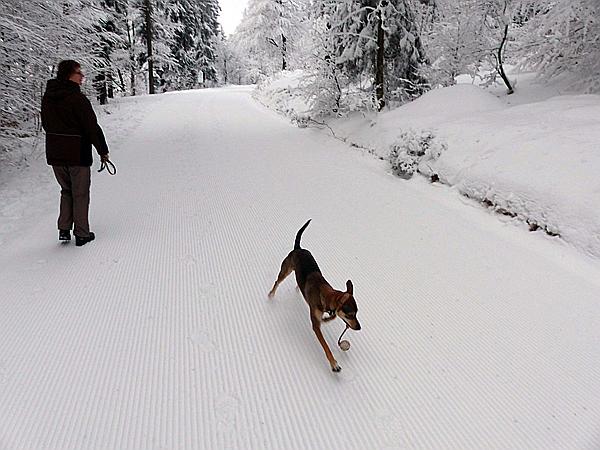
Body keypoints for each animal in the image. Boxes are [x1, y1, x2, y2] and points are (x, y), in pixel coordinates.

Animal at [268, 220, 360, 370]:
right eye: (350, 315)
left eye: (356, 314)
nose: (359, 327)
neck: (324, 295)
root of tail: (298, 248)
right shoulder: (315, 326)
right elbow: (326, 346)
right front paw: (334, 363)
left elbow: (331, 316)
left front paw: (328, 318)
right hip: (286, 269)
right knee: (277, 282)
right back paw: (271, 295)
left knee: (297, 282)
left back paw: (299, 289)